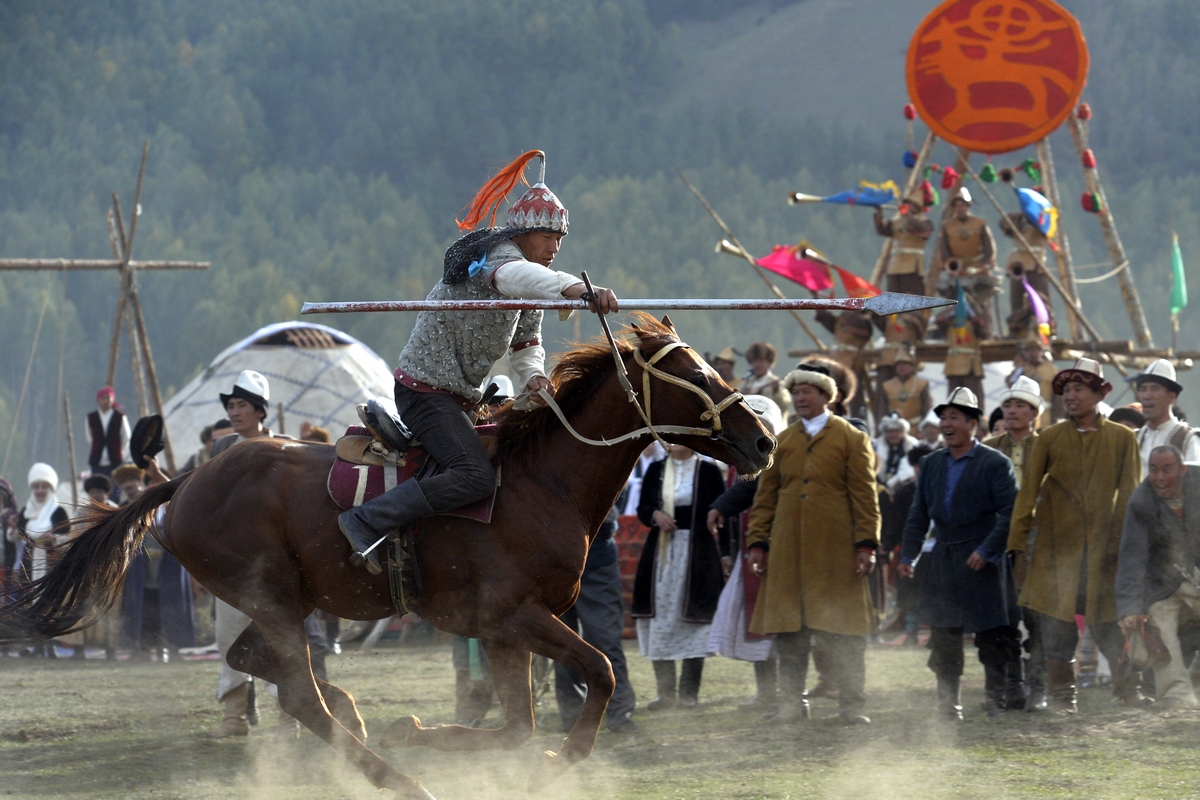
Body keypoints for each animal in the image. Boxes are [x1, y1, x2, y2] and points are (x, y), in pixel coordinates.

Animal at [0, 316, 768, 796]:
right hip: (274, 595)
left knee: (264, 666)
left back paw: (360, 721)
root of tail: (186, 480)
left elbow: (516, 726)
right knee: (297, 691)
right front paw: (555, 759)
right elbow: (600, 675)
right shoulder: (514, 617)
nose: (760, 438)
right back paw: (393, 773)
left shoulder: (502, 631)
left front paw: (417, 727)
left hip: (277, 600)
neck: (539, 481)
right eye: (693, 374)